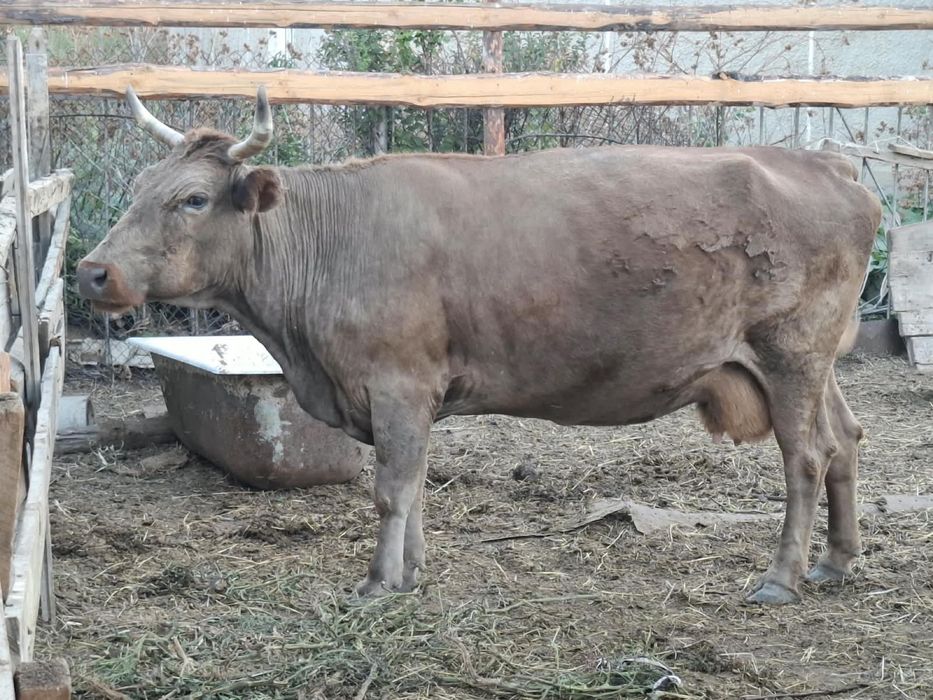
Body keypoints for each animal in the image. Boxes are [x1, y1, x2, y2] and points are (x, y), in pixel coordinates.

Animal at [78, 86, 881, 604]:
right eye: (141, 187)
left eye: (192, 199)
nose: (92, 271)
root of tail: (825, 163)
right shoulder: (410, 395)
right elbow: (414, 487)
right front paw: (412, 574)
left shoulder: (397, 382)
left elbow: (391, 489)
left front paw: (377, 585)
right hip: (811, 361)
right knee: (844, 439)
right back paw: (836, 562)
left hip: (790, 353)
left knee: (806, 457)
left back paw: (780, 578)